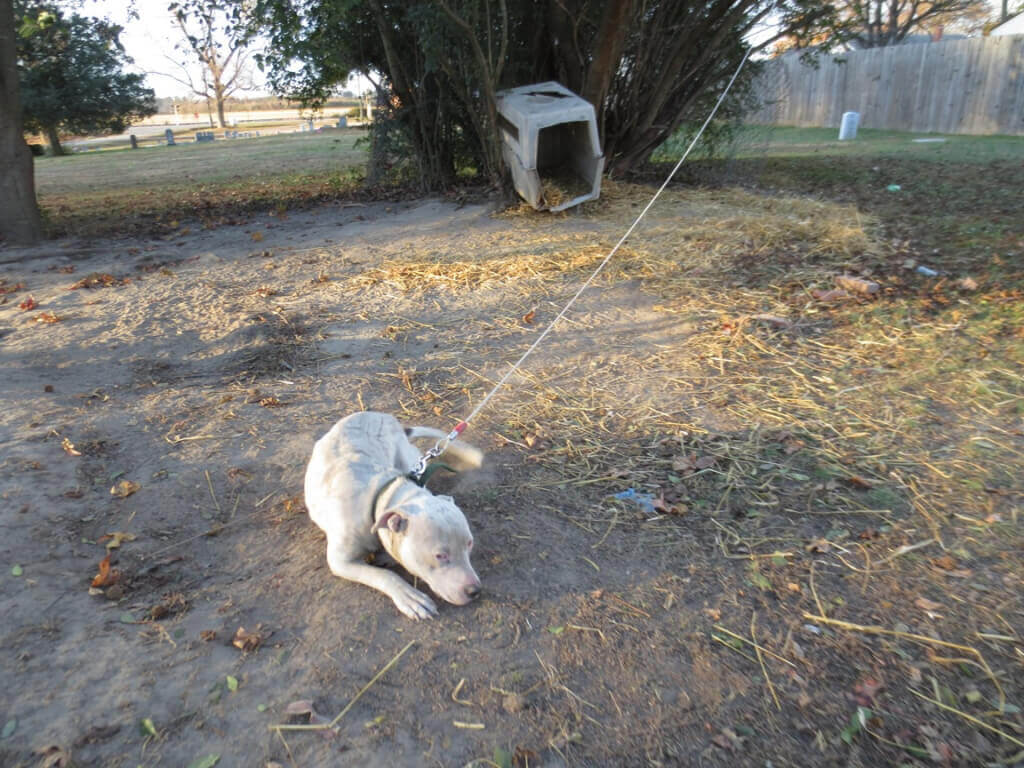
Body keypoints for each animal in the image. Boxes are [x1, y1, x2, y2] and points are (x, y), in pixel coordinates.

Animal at [303, 411, 483, 622]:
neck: (382, 493)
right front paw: (409, 597)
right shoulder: (340, 562)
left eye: (469, 544)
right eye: (440, 556)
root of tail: (378, 414)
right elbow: (384, 575)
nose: (475, 591)